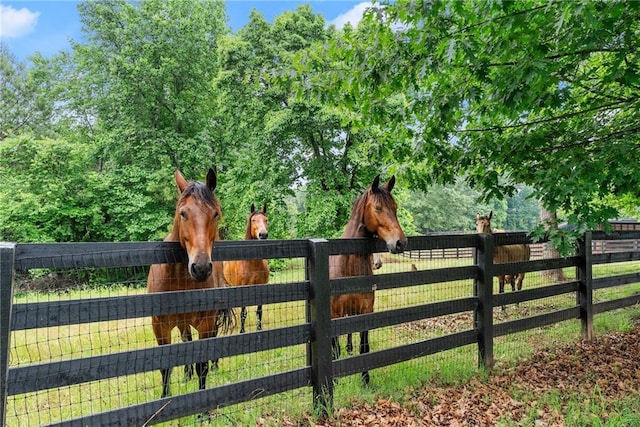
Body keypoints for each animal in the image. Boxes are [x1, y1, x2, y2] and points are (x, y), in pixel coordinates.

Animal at [146, 168, 234, 398]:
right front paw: (165, 398)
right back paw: (187, 375)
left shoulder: (206, 323)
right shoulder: (159, 325)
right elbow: (166, 366)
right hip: (181, 323)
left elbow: (201, 365)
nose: (201, 267)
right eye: (183, 213)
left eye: (215, 214)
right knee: (186, 342)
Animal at [224, 204, 268, 334]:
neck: (252, 264)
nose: (263, 235)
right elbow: (243, 313)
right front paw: (242, 331)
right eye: (253, 220)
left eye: (266, 219)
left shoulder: (261, 287)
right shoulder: (243, 288)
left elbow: (259, 312)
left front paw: (259, 329)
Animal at [332, 174, 408, 384]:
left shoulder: (366, 310)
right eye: (378, 208)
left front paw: (365, 379)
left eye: (395, 207)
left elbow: (364, 347)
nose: (400, 242)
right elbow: (334, 348)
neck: (349, 269)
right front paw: (335, 381)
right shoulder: (334, 314)